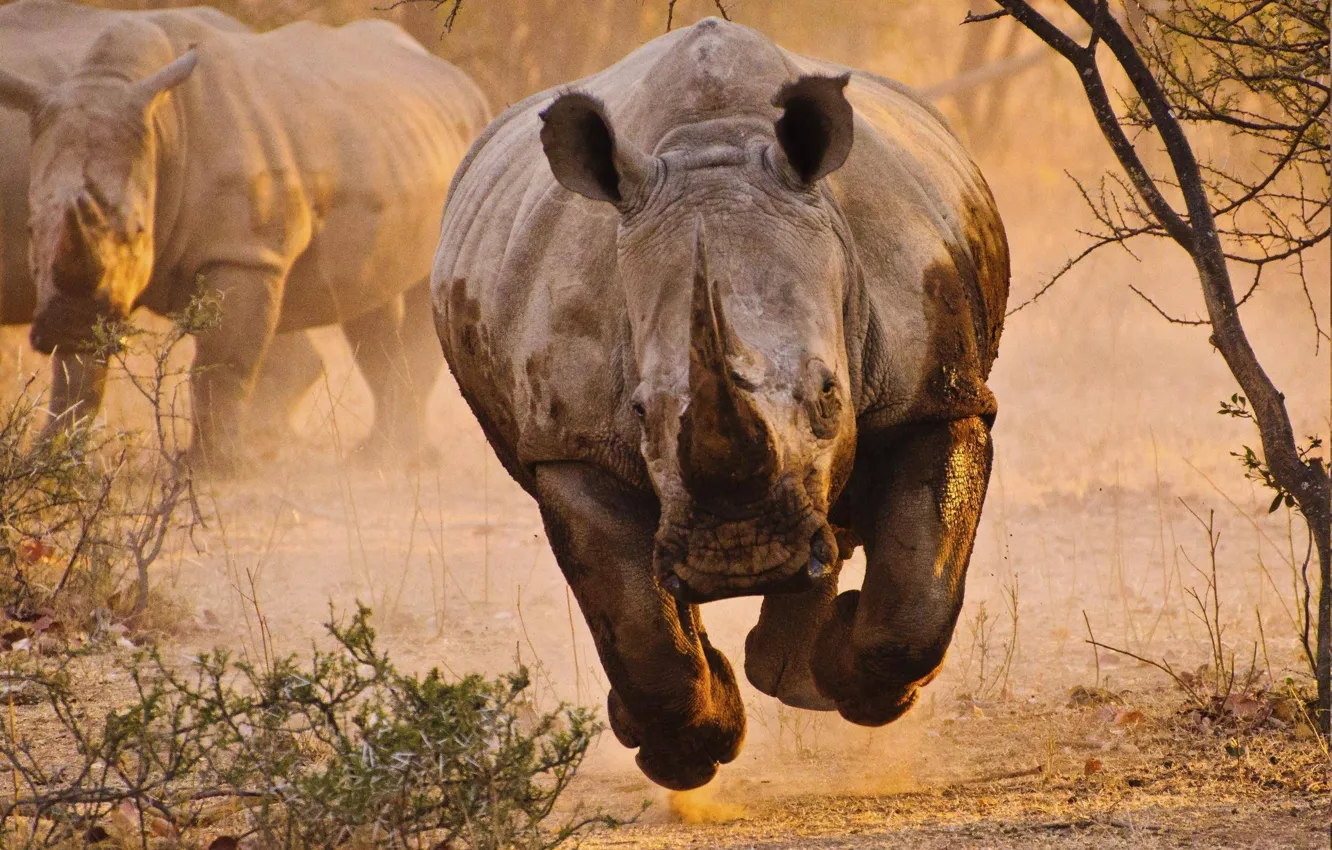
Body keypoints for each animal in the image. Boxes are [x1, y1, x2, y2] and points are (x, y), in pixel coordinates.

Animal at [0, 3, 490, 469]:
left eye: (138, 229)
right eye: (30, 230)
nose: (65, 324)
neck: (162, 130)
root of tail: (460, 80)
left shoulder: (244, 253)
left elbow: (222, 364)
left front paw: (213, 470)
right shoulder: (88, 289)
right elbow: (76, 376)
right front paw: (48, 462)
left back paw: (399, 461)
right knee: (369, 301)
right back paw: (379, 457)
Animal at [433, 18, 1008, 789]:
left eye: (830, 394)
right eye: (639, 412)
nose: (741, 555)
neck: (713, 145)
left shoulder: (937, 391)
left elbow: (916, 598)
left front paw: (857, 686)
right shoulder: (570, 443)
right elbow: (639, 627)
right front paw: (686, 754)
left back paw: (796, 674)